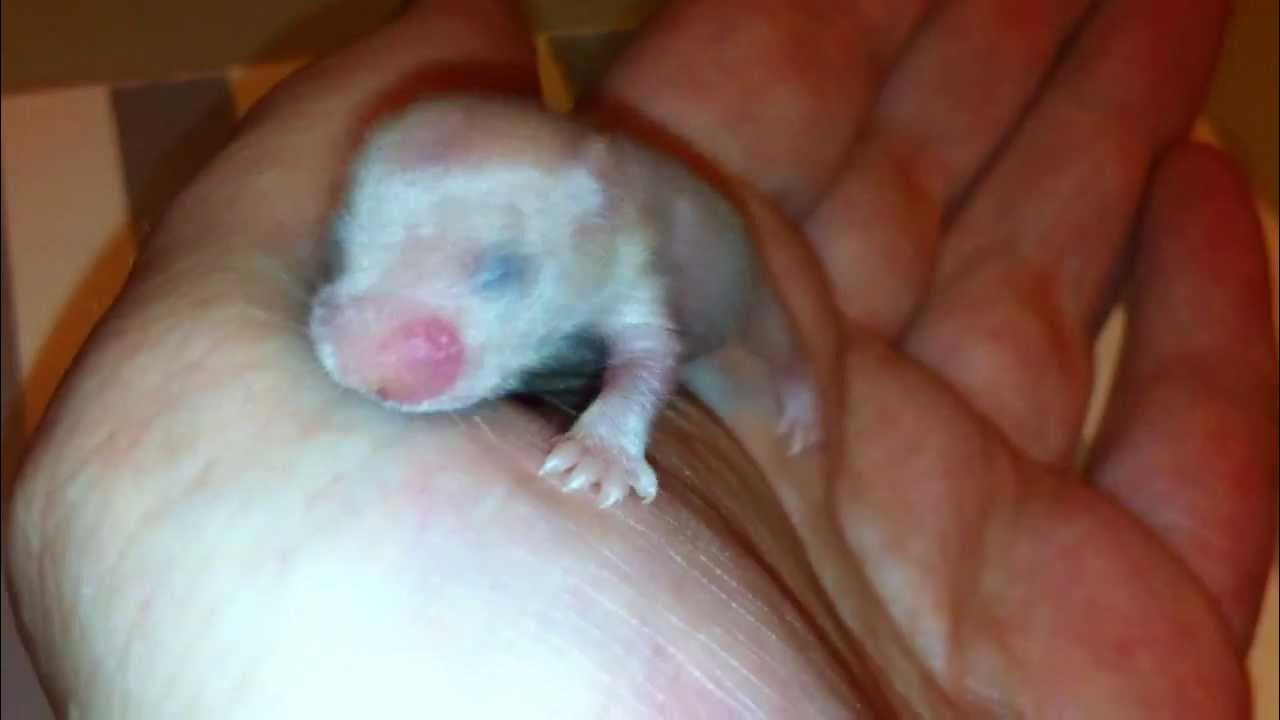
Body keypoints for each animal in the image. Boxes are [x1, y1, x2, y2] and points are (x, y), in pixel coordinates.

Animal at [308, 95, 818, 508]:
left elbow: (649, 355)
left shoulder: (632, 264)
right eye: (340, 245)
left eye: (503, 270)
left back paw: (802, 407)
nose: (358, 364)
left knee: (777, 336)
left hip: (752, 287)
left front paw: (600, 456)